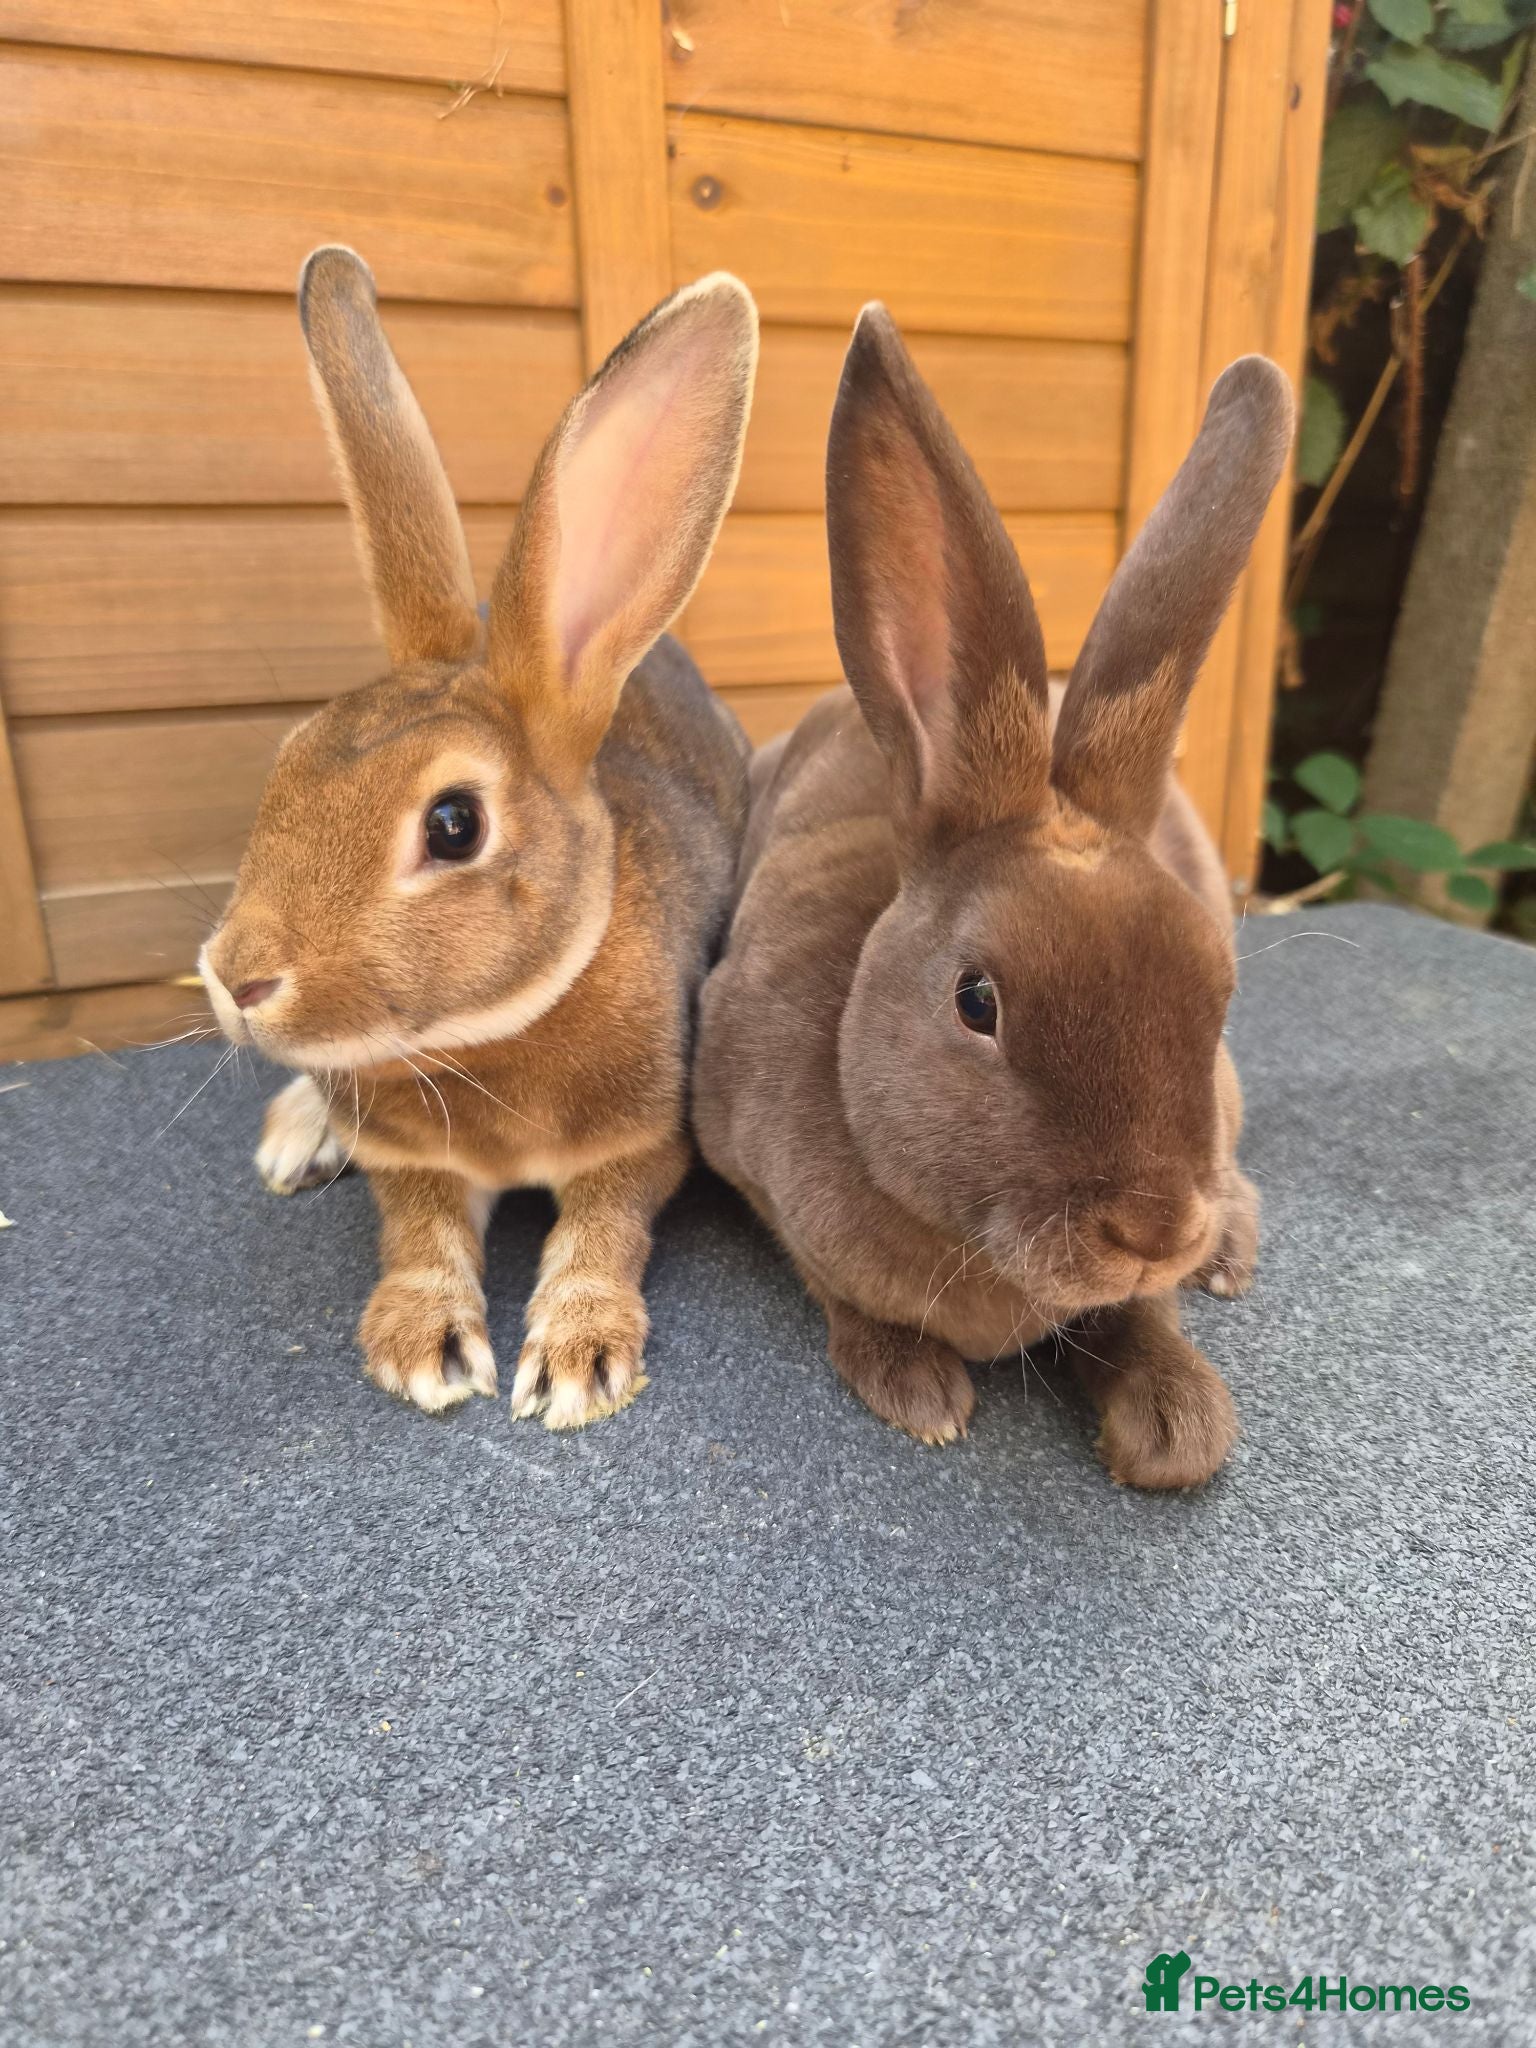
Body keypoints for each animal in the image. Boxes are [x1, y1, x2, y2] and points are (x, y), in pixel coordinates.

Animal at [200, 247, 758, 1428]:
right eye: (290, 759)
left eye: (453, 825)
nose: (237, 978)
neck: (485, 1039)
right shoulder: (410, 1157)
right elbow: (415, 1229)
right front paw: (422, 1343)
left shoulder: (643, 1136)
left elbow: (605, 1228)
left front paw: (579, 1359)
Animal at [693, 307, 1294, 1489]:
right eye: (978, 1003)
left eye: (1218, 1003)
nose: (1153, 1229)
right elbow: (836, 1290)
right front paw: (917, 1390)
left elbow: (1138, 1319)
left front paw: (1177, 1421)